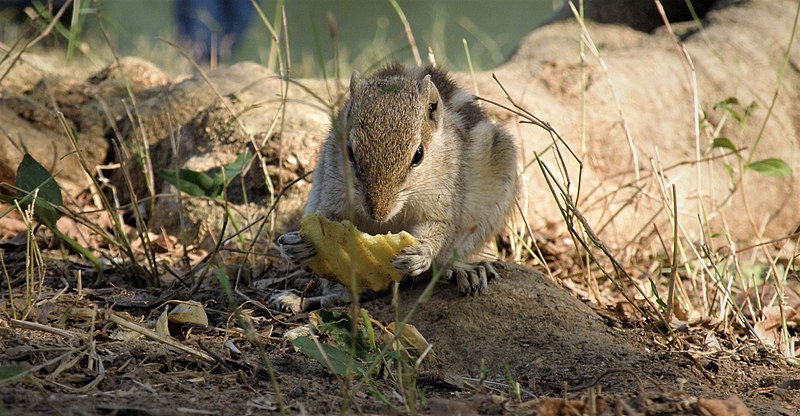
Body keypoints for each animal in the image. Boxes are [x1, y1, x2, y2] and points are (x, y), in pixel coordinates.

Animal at [278, 63, 520, 308]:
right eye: (350, 152)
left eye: (419, 154)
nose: (378, 213)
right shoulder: (332, 192)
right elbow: (328, 219)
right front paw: (298, 243)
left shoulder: (443, 200)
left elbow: (439, 228)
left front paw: (421, 252)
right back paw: (305, 298)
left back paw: (464, 271)